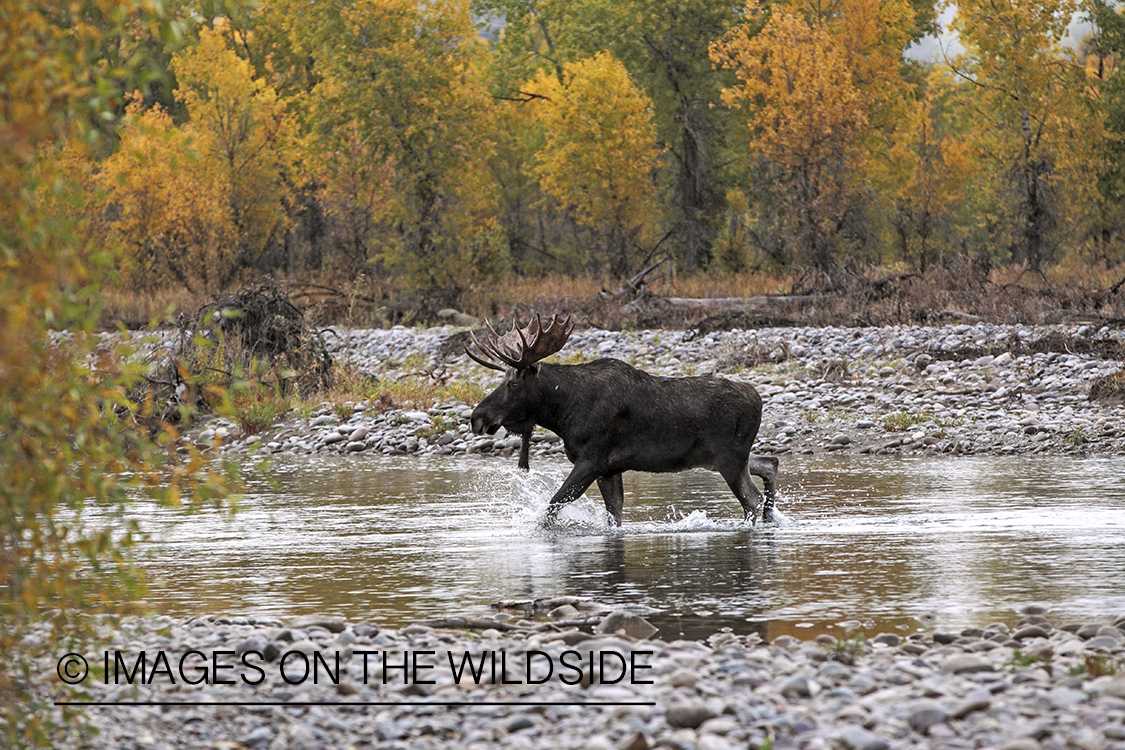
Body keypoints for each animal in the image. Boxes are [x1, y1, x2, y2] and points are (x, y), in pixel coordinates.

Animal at [461, 314, 778, 526]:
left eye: (513, 384)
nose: (477, 418)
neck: (562, 413)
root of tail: (758, 400)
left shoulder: (592, 459)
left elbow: (552, 507)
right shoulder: (609, 470)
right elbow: (614, 517)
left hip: (728, 457)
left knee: (752, 499)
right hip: (724, 457)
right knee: (769, 463)